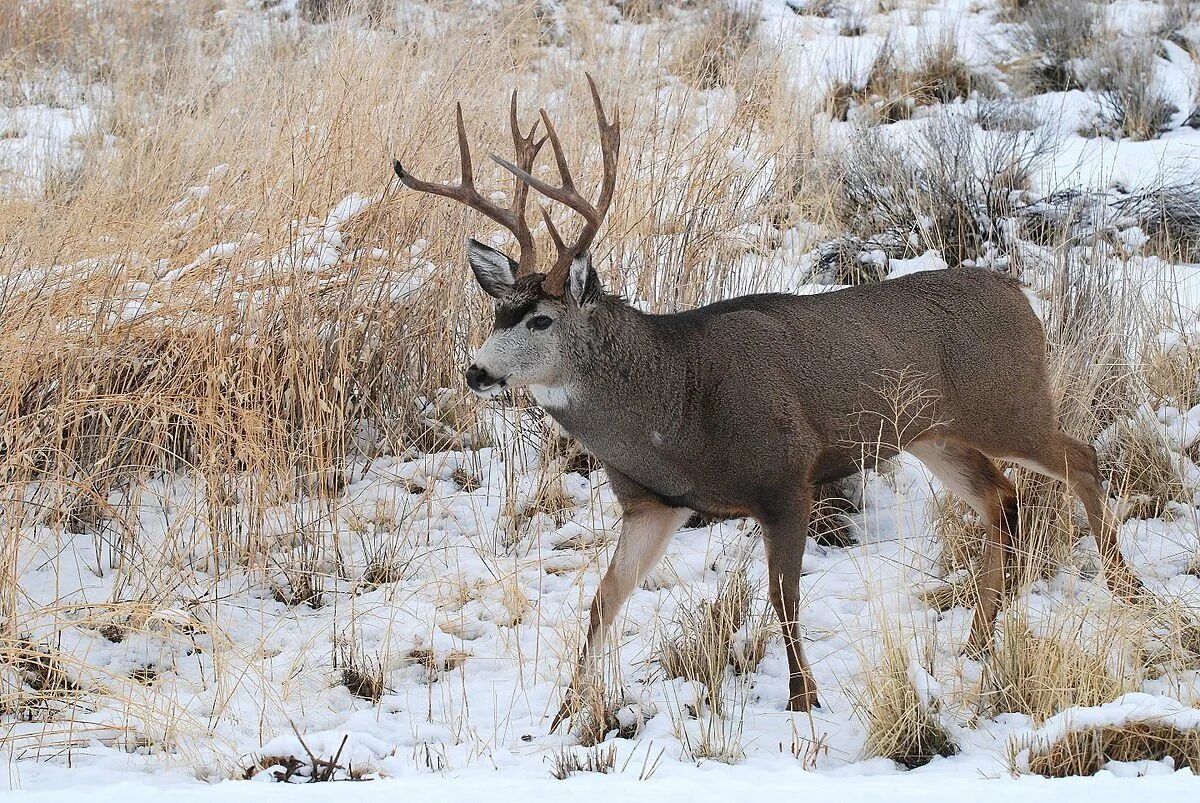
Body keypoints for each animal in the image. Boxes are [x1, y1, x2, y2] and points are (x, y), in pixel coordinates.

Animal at [393, 76, 1142, 724]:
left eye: (542, 320)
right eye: (498, 313)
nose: (476, 372)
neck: (676, 405)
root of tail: (1020, 293)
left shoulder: (787, 476)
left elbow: (785, 596)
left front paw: (803, 698)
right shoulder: (654, 503)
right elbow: (604, 602)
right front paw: (564, 711)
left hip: (1011, 403)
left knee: (1081, 456)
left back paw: (1124, 589)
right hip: (936, 435)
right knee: (1001, 497)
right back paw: (981, 638)